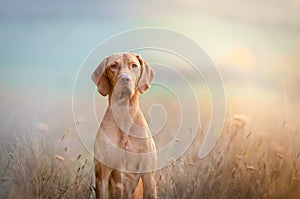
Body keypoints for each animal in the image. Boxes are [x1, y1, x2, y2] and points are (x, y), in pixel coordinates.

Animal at [91, 52, 157, 198]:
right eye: (113, 66)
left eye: (134, 65)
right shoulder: (102, 176)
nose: (125, 79)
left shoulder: (149, 175)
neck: (124, 115)